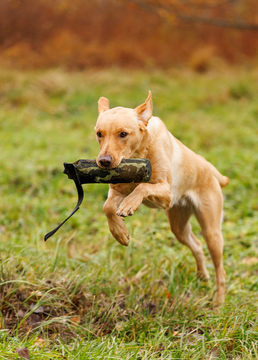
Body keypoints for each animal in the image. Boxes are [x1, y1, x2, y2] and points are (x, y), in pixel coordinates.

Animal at [95, 91, 230, 306]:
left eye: (123, 134)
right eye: (99, 134)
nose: (104, 161)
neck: (138, 153)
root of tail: (208, 166)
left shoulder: (166, 193)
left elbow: (142, 187)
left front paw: (130, 205)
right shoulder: (117, 191)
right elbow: (107, 207)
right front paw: (120, 233)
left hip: (212, 231)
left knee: (221, 270)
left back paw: (218, 302)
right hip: (179, 226)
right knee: (197, 246)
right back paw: (202, 276)